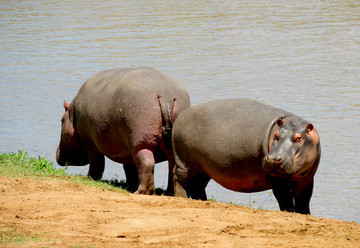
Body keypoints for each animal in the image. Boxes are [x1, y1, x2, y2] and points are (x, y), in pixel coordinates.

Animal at [55, 67, 191, 195]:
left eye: (61, 120)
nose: (57, 154)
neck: (73, 112)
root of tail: (165, 95)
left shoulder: (90, 143)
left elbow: (96, 162)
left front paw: (89, 178)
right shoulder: (126, 148)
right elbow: (129, 168)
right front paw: (129, 185)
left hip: (141, 143)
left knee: (146, 163)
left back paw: (140, 192)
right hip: (163, 144)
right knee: (171, 166)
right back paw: (169, 192)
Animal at [173, 98, 322, 214]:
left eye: (299, 138)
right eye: (276, 135)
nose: (273, 159)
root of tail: (180, 116)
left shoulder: (307, 178)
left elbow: (304, 200)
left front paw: (305, 214)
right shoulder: (276, 178)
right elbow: (284, 198)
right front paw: (290, 213)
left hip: (203, 169)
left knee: (197, 186)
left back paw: (203, 201)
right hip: (184, 163)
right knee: (179, 179)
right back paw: (181, 198)